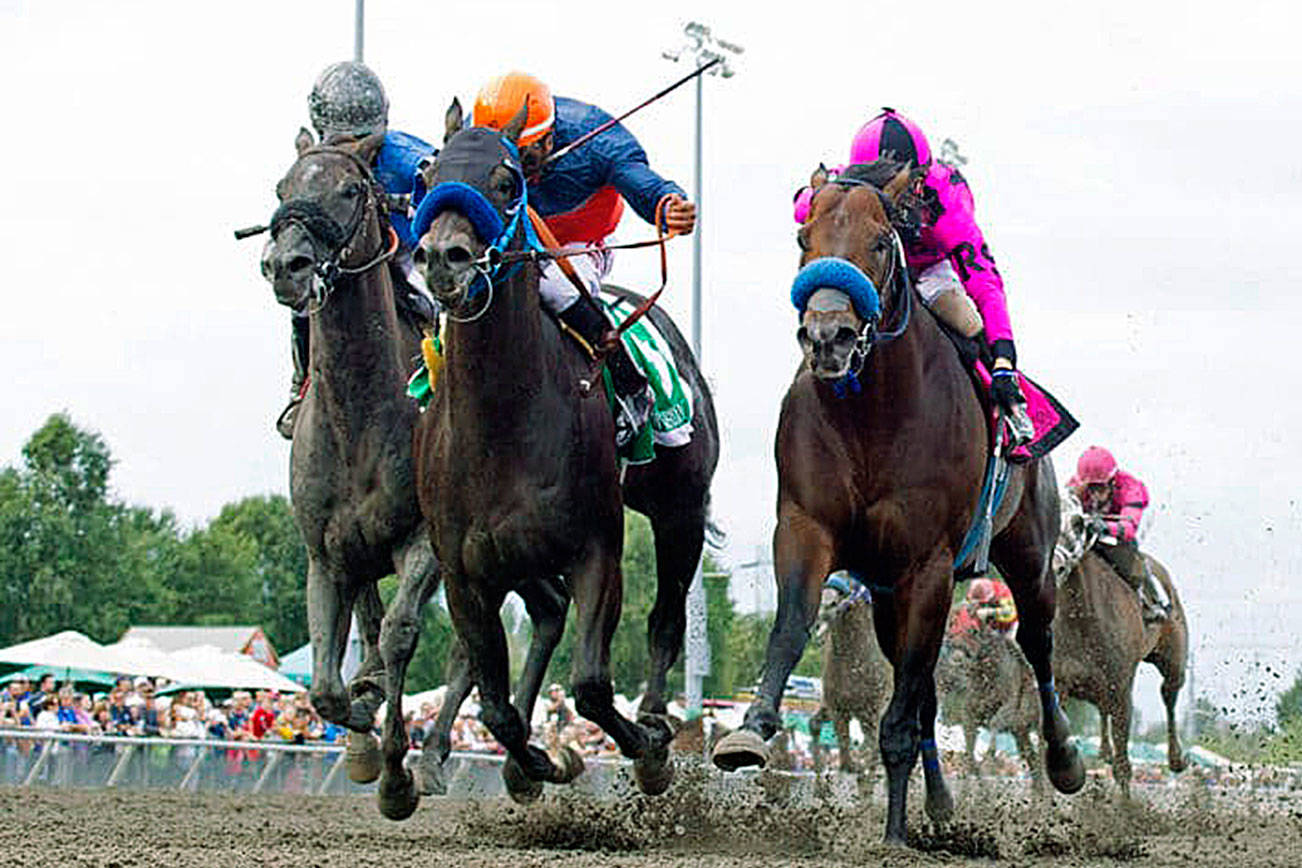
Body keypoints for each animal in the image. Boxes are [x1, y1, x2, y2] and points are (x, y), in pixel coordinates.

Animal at [265, 130, 437, 786]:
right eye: (282, 188)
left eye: (347, 189)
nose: (286, 265)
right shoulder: (326, 553)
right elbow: (324, 684)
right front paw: (362, 720)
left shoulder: (426, 541)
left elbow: (399, 632)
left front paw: (395, 768)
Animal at [395, 106, 723, 806]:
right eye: (426, 177)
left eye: (505, 179)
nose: (443, 258)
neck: (503, 420)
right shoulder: (465, 573)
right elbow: (495, 709)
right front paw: (543, 760)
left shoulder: (597, 548)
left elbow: (593, 686)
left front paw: (647, 750)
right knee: (546, 617)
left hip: (679, 509)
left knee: (665, 620)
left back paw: (656, 719)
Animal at [708, 159, 1083, 843]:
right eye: (803, 239)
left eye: (882, 242)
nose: (828, 336)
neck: (872, 414)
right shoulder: (807, 528)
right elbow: (793, 623)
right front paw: (751, 730)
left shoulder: (927, 564)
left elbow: (904, 712)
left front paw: (893, 833)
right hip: (887, 595)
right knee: (927, 686)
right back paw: (938, 802)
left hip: (1029, 555)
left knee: (1037, 641)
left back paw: (1064, 760)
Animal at [1052, 494, 1187, 796]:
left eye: (1077, 523)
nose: (1055, 566)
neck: (1082, 619)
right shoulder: (1060, 685)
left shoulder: (1121, 687)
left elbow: (1124, 766)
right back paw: (1104, 751)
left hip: (1174, 660)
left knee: (1169, 695)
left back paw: (1176, 758)